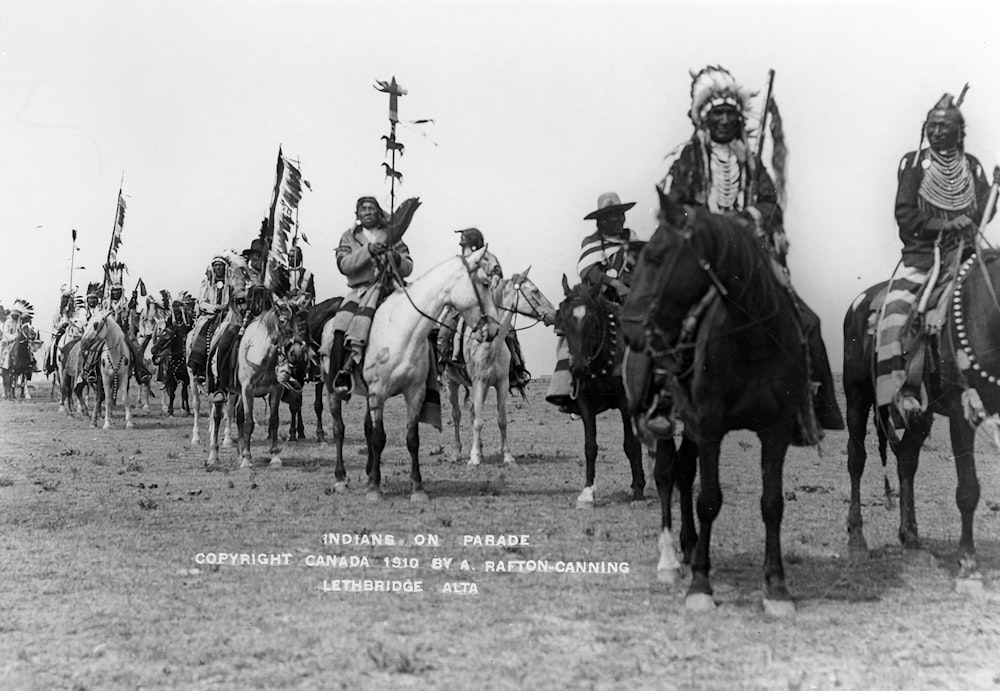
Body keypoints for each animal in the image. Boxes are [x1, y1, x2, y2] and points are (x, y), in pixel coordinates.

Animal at [322, 251, 500, 500]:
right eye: (484, 283)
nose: (495, 329)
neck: (402, 330)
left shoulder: (415, 392)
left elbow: (411, 439)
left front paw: (417, 487)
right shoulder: (378, 393)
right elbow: (378, 438)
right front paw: (374, 489)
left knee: (367, 428)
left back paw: (368, 471)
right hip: (332, 389)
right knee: (339, 428)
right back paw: (341, 478)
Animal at [442, 268, 560, 468]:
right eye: (535, 291)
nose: (553, 314)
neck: (491, 344)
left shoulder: (501, 383)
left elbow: (501, 420)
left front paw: (507, 456)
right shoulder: (479, 382)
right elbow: (478, 421)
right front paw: (474, 458)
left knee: (472, 412)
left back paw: (480, 449)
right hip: (452, 383)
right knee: (456, 415)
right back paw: (456, 453)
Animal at [552, 276, 644, 508]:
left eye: (592, 319)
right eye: (564, 318)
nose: (578, 367)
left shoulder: (625, 404)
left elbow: (630, 445)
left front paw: (639, 490)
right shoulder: (585, 405)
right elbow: (590, 446)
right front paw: (587, 492)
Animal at [620, 191, 816, 616]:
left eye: (656, 256)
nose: (629, 329)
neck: (752, 340)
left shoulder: (775, 430)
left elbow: (772, 503)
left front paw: (776, 588)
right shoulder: (710, 426)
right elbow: (708, 499)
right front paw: (700, 586)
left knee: (682, 471)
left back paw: (691, 545)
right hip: (670, 423)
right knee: (666, 474)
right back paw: (670, 560)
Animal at [844, 250, 1000, 584]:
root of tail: (859, 301)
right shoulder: (961, 414)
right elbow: (968, 488)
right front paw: (967, 560)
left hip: (921, 413)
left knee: (906, 458)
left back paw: (911, 537)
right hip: (857, 396)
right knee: (856, 459)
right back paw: (857, 541)